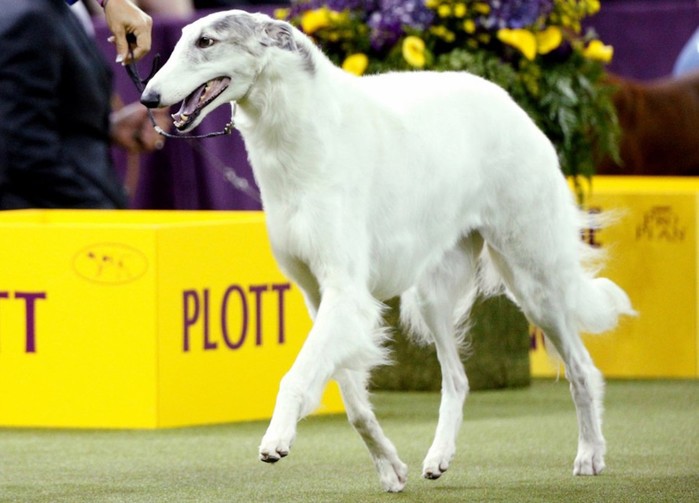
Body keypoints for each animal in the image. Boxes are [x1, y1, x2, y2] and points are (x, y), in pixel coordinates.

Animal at [141, 9, 636, 494]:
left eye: (206, 41)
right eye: (181, 39)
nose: (148, 98)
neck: (304, 137)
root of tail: (506, 98)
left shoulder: (345, 292)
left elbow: (297, 377)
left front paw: (277, 438)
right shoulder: (318, 296)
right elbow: (355, 405)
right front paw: (390, 467)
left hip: (533, 280)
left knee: (581, 368)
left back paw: (590, 454)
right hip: (432, 293)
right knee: (458, 379)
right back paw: (438, 458)